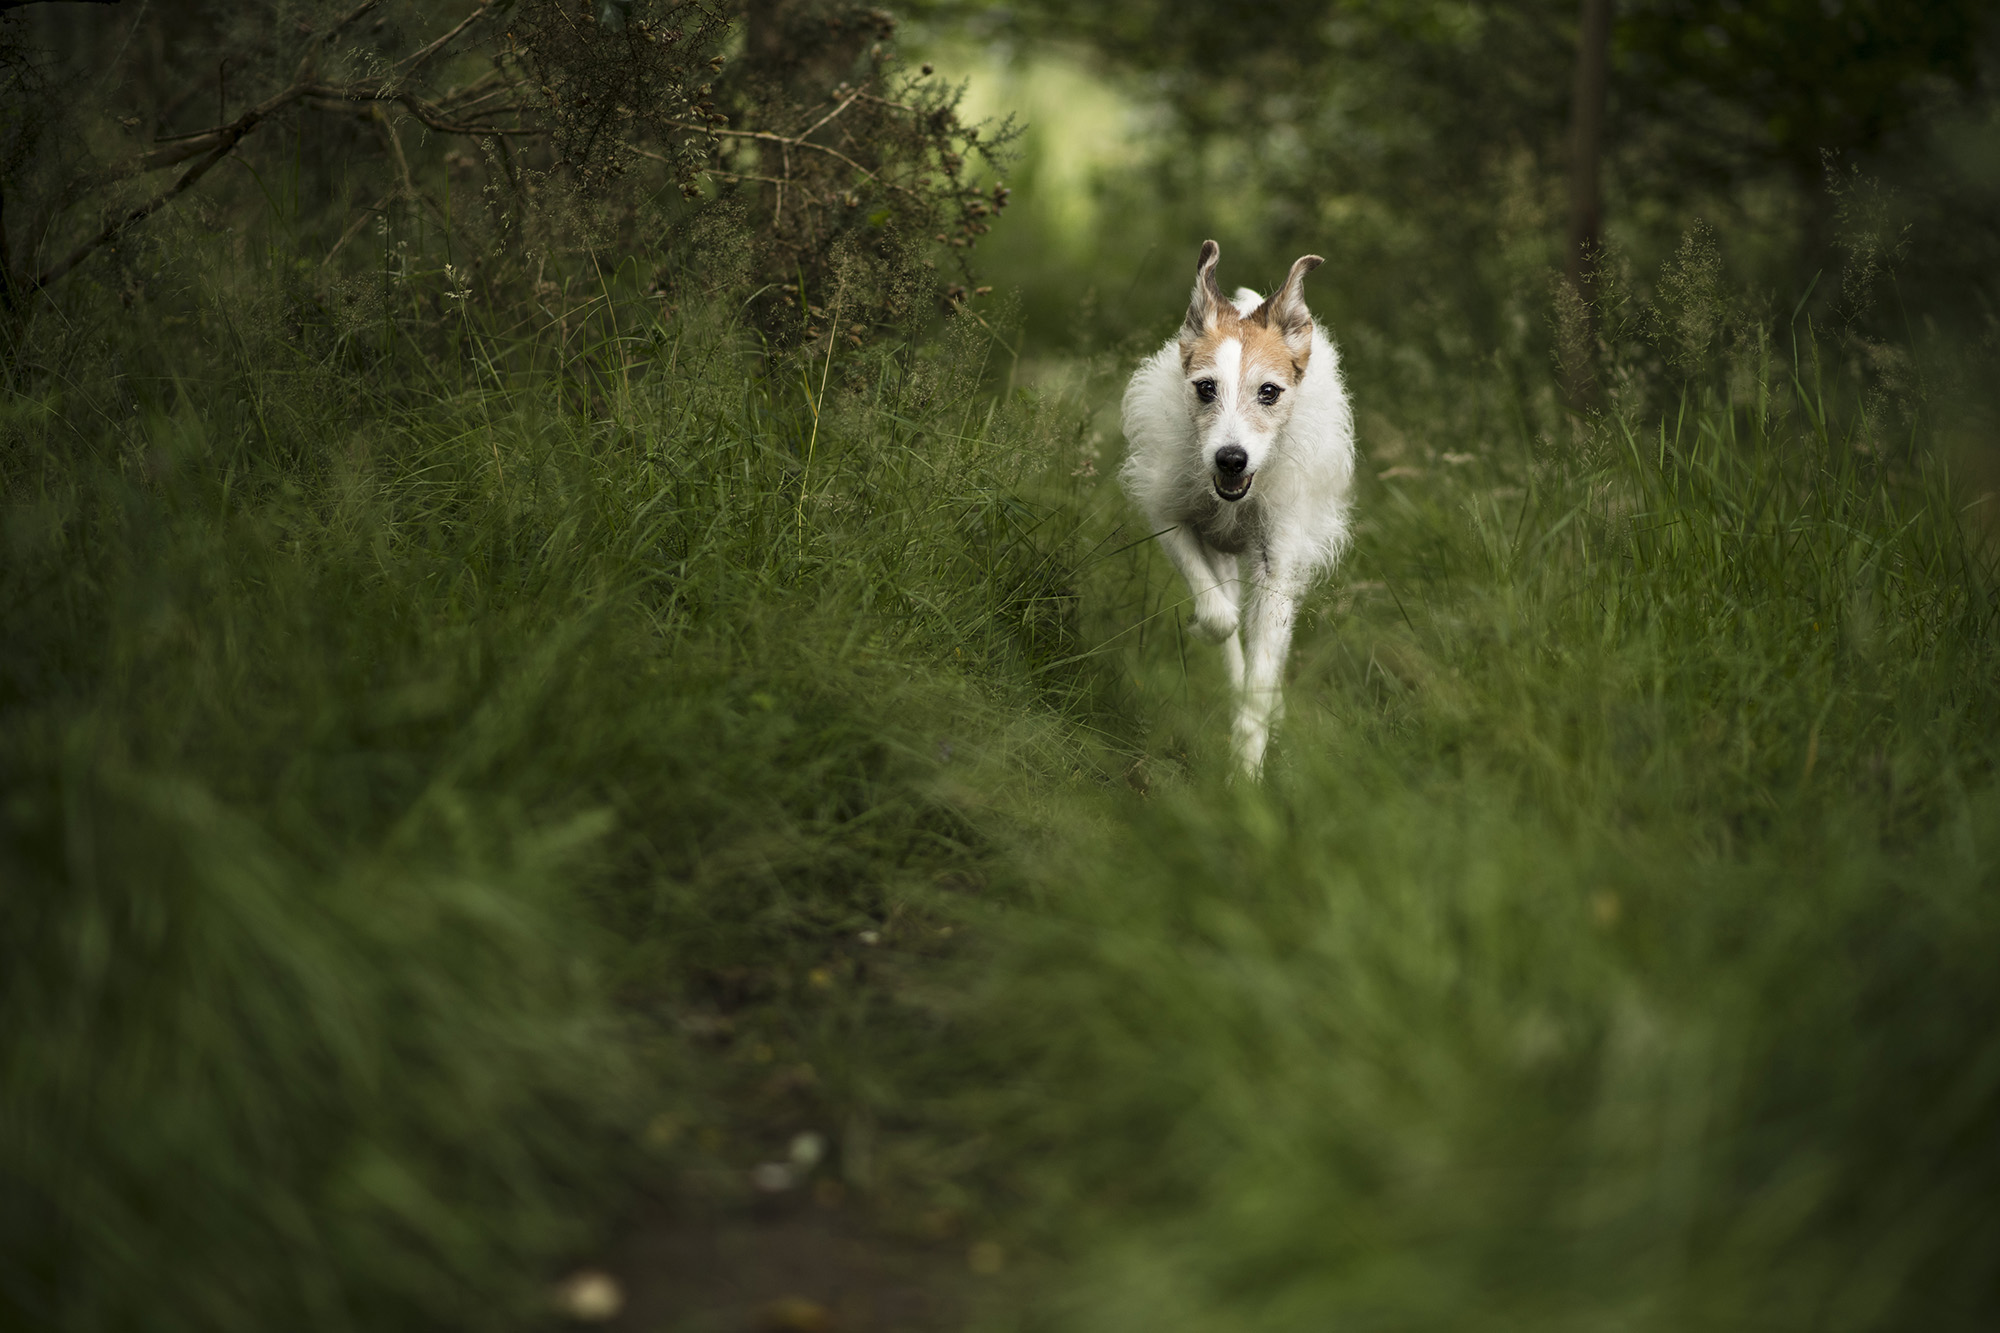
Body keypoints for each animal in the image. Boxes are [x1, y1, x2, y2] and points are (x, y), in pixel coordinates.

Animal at [1128, 240, 1360, 772]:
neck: (1236, 498)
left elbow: (1261, 669)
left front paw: (1247, 770)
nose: (1230, 458)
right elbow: (1220, 617)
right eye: (1205, 387)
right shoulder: (1170, 519)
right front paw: (1208, 631)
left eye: (1268, 391)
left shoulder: (1277, 565)